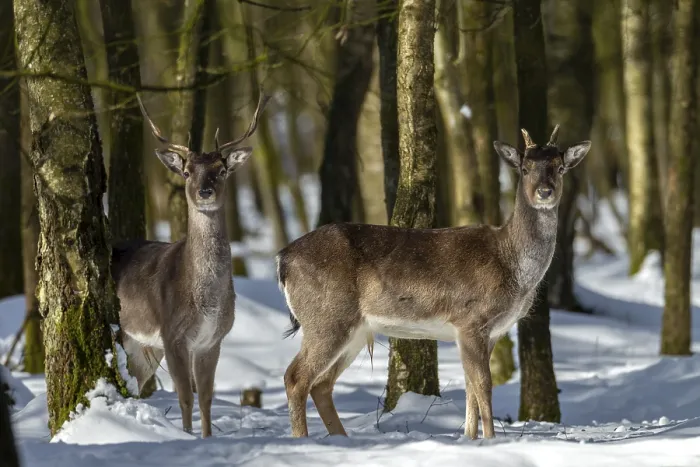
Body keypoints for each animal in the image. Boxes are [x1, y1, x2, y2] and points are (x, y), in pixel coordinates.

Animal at [110, 92, 269, 438]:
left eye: (221, 171)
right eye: (186, 173)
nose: (204, 192)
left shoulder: (213, 339)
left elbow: (206, 396)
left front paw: (207, 437)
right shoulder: (173, 334)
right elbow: (185, 396)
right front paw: (186, 436)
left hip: (142, 347)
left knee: (136, 385)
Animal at [277, 126, 591, 439]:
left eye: (559, 167)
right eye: (525, 169)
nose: (545, 192)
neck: (511, 265)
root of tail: (283, 259)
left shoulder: (491, 332)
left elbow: (470, 388)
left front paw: (470, 438)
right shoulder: (471, 320)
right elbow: (484, 386)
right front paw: (490, 440)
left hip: (354, 329)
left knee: (321, 385)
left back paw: (340, 440)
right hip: (326, 317)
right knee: (296, 377)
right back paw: (303, 440)